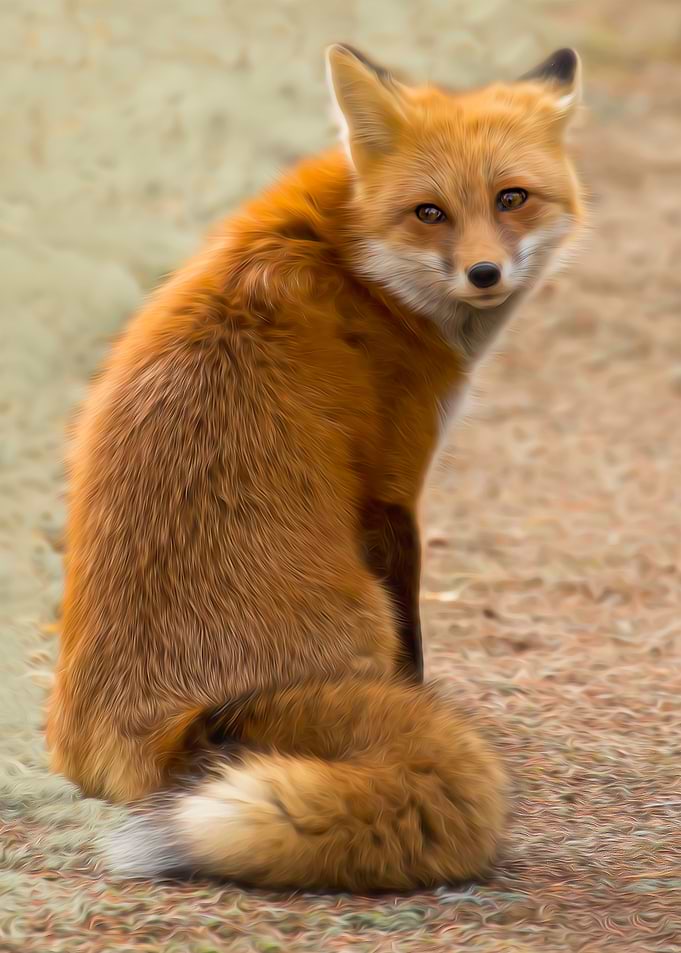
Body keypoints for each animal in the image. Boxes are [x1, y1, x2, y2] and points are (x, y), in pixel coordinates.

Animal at [46, 45, 584, 890]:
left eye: (511, 199)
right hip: (365, 613)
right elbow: (416, 654)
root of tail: (152, 732)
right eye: (429, 212)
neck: (353, 254)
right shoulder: (393, 487)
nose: (484, 273)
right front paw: (430, 702)